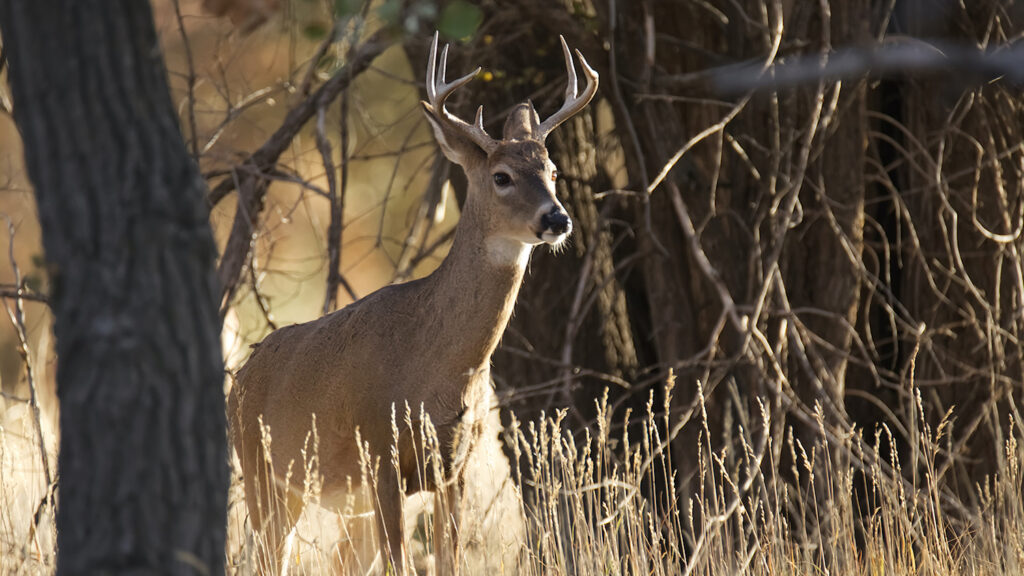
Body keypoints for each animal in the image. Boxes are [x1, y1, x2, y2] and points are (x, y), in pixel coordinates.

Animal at [230, 32, 598, 573]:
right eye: (502, 176)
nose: (557, 219)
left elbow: (449, 560)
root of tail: (239, 377)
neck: (438, 370)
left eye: (552, 170)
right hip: (264, 474)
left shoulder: (455, 467)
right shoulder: (379, 453)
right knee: (264, 556)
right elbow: (401, 561)